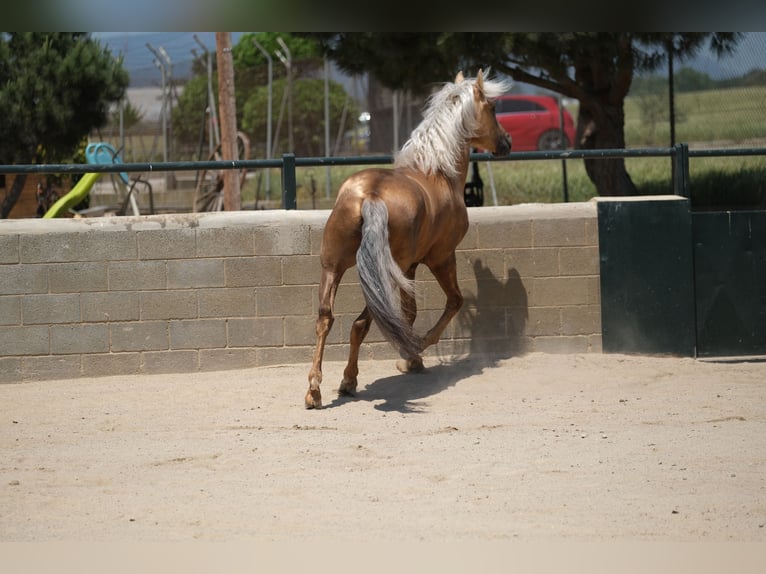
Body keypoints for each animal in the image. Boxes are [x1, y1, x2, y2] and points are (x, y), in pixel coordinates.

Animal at [304, 71, 510, 410]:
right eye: (492, 108)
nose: (506, 143)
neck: (437, 172)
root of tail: (371, 195)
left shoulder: (409, 268)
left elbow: (409, 313)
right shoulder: (441, 259)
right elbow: (452, 302)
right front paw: (412, 356)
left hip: (333, 268)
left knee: (325, 318)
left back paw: (315, 391)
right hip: (389, 273)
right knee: (362, 323)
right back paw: (348, 381)